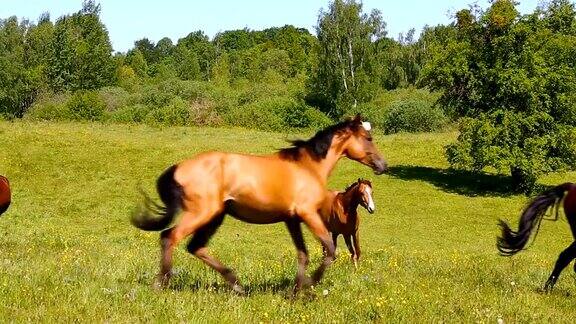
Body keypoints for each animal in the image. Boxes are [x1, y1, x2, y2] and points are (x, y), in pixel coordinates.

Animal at [130, 115, 388, 294]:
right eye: (368, 139)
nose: (383, 165)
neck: (307, 167)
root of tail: (178, 167)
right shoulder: (307, 215)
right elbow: (330, 250)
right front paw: (308, 286)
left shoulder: (292, 219)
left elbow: (303, 254)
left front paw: (295, 290)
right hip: (202, 213)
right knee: (169, 237)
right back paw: (161, 284)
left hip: (216, 216)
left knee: (195, 247)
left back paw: (237, 285)